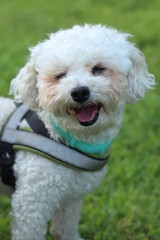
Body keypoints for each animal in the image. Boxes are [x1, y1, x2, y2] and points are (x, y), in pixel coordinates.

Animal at [0, 24, 155, 240]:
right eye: (60, 75)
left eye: (98, 69)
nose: (80, 92)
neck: (61, 137)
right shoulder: (31, 205)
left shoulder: (71, 198)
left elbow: (66, 227)